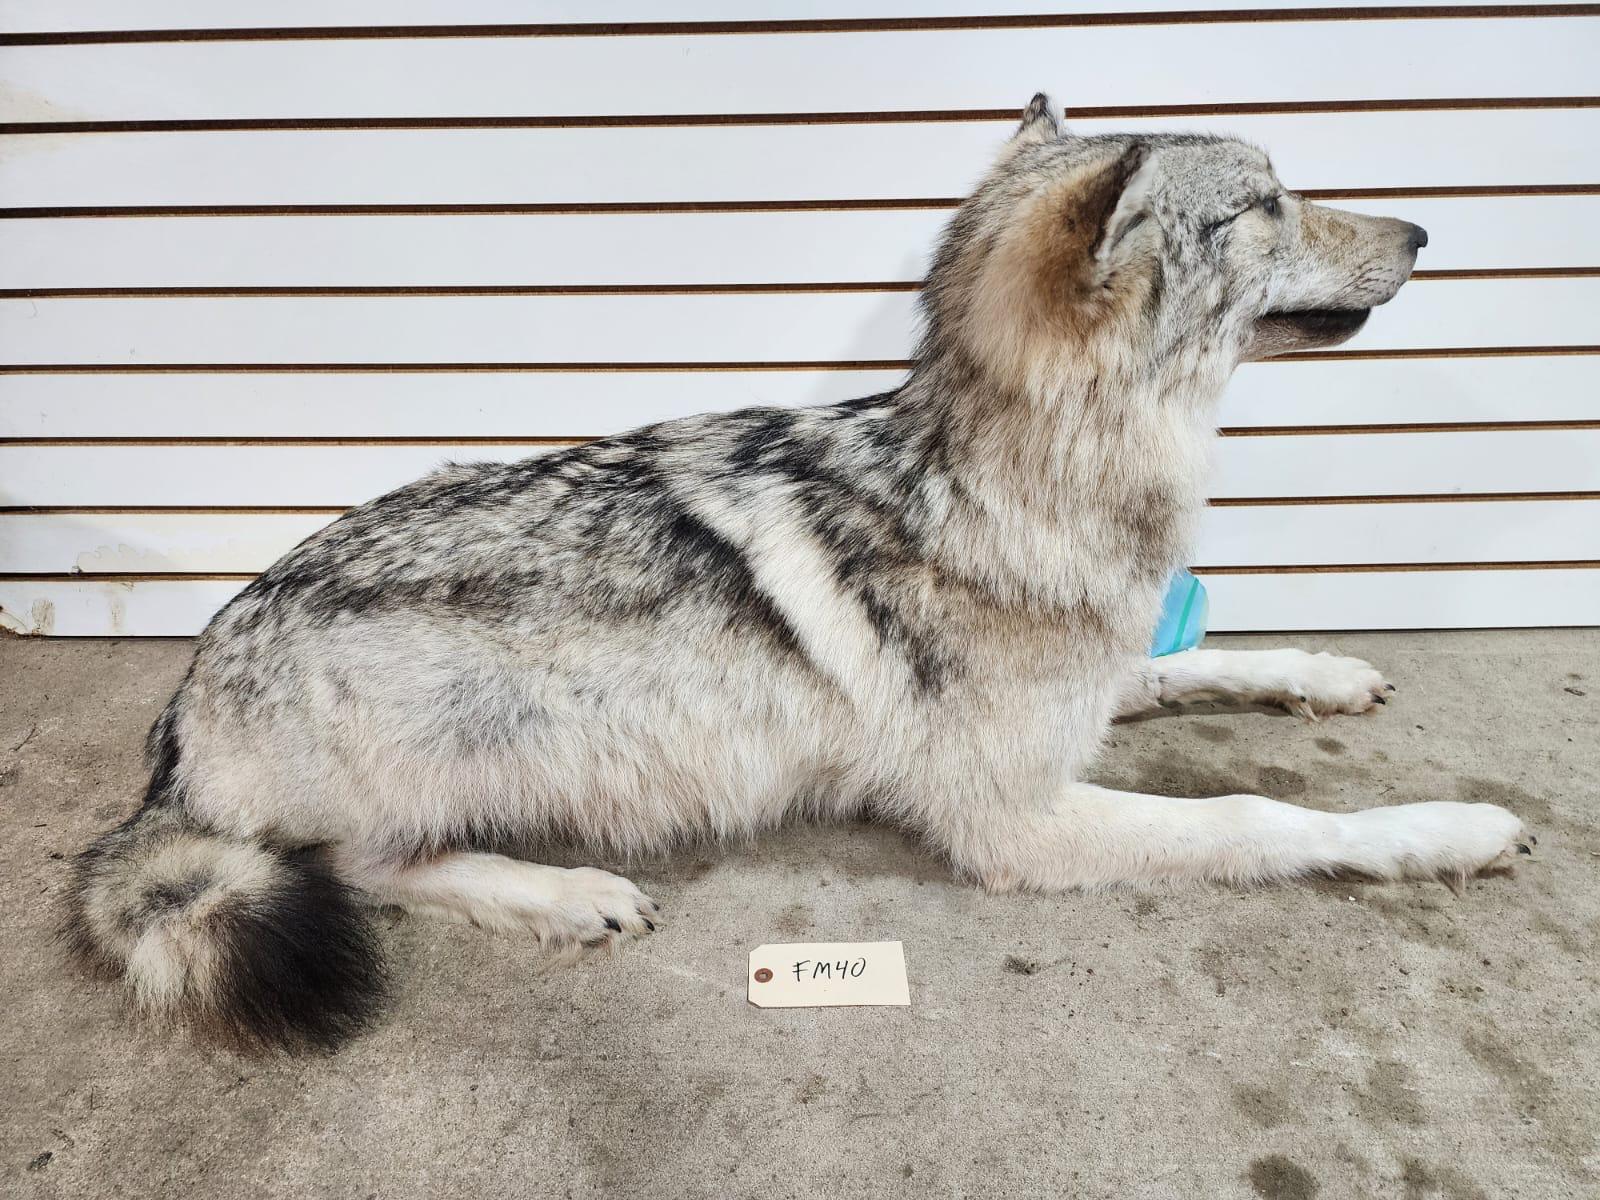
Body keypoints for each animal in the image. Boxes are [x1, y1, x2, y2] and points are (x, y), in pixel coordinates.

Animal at [64, 95, 1530, 1051]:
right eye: (1269, 201)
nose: (1426, 232)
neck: (1011, 480)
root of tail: (182, 706)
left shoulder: (1093, 692)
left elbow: (1203, 661)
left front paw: (1323, 671)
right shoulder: (1019, 823)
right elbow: (1262, 817)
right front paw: (1447, 831)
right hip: (465, 756)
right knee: (359, 868)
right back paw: (566, 898)